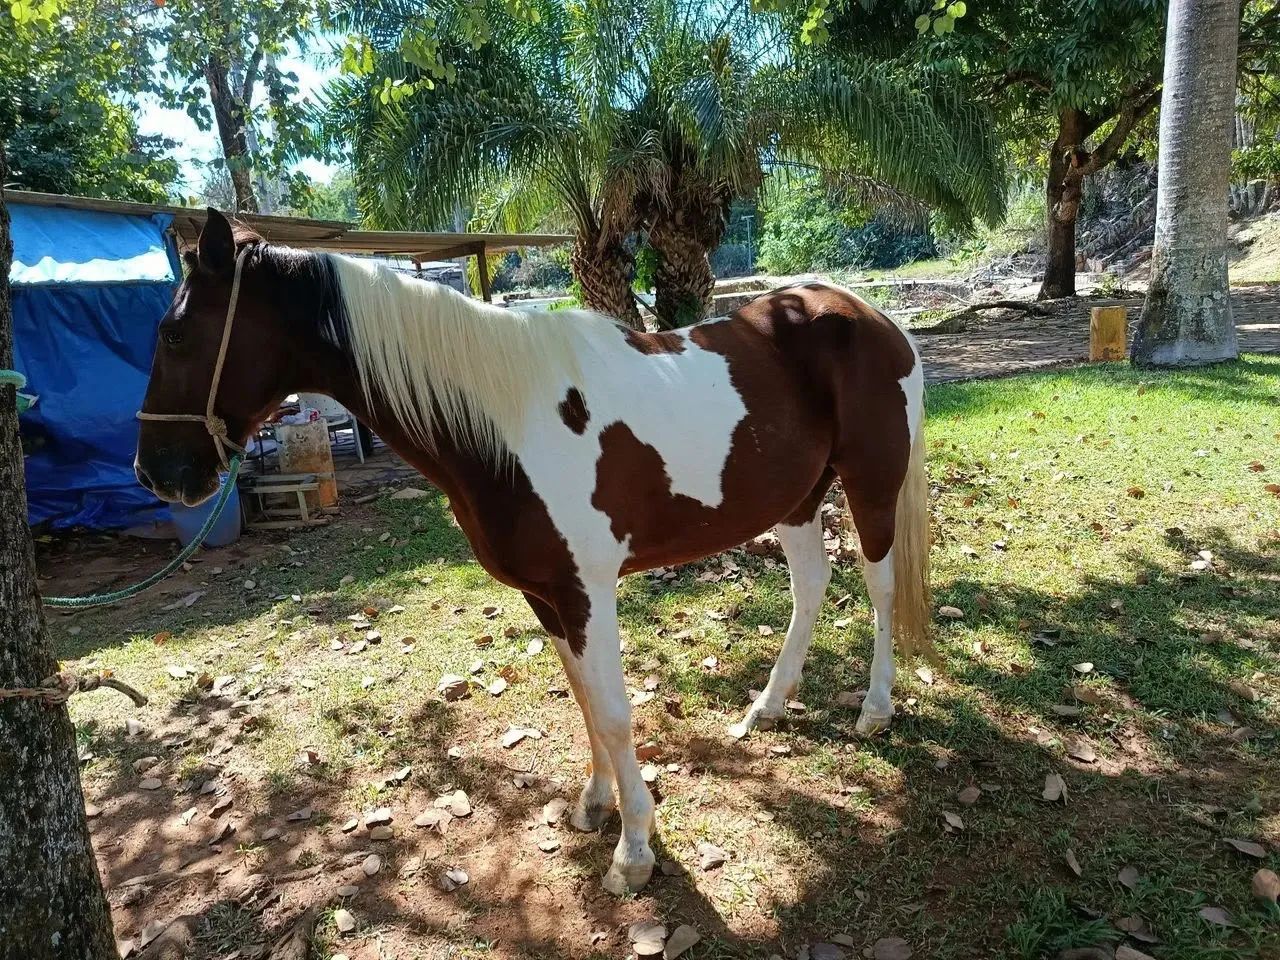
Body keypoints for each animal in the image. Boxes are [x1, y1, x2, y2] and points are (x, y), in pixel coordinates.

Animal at [135, 209, 932, 895]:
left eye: (174, 333)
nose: (156, 473)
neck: (500, 421)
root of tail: (872, 316)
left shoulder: (586, 592)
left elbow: (614, 713)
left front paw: (634, 852)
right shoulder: (546, 596)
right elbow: (584, 704)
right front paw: (593, 807)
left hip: (871, 485)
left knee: (879, 587)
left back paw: (875, 708)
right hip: (793, 500)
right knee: (810, 584)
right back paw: (768, 705)